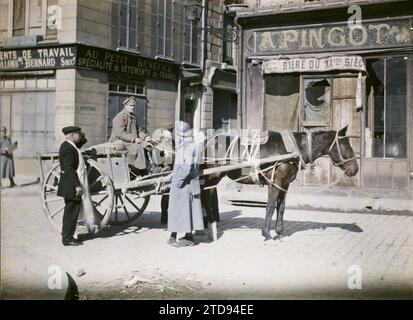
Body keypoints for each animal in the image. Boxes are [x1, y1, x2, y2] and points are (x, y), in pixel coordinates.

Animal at [201, 126, 356, 239]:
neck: (291, 150)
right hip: (212, 176)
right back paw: (210, 226)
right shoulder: (274, 182)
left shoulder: (285, 184)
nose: (355, 168)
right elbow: (270, 206)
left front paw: (279, 231)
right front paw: (266, 233)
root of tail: (206, 142)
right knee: (206, 198)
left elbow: (281, 207)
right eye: (346, 145)